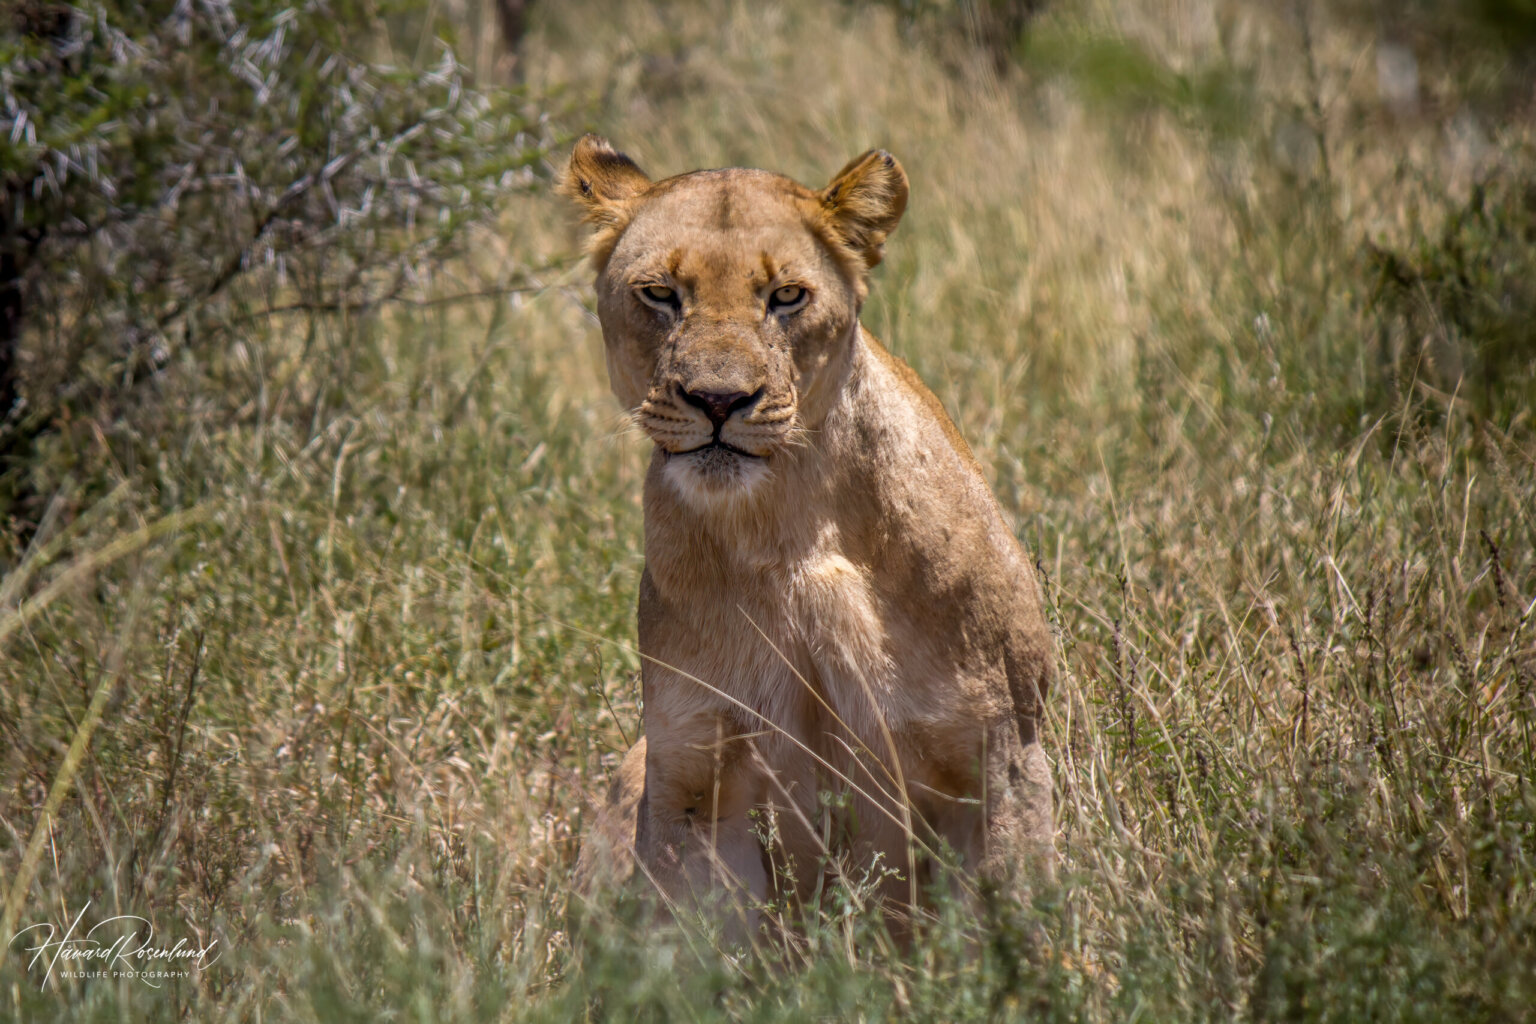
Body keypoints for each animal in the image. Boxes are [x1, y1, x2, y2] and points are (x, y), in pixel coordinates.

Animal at [564, 135, 1054, 933]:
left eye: (787, 296)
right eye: (660, 294)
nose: (718, 400)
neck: (786, 525)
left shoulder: (1002, 756)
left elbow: (1015, 928)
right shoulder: (694, 774)